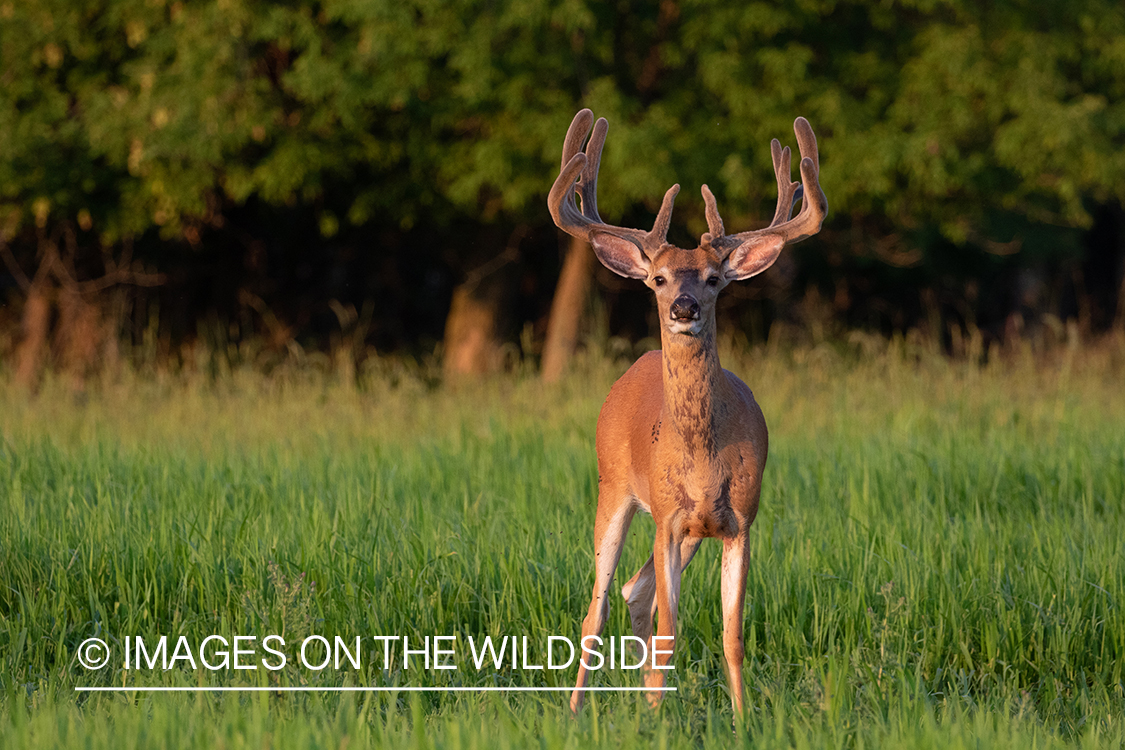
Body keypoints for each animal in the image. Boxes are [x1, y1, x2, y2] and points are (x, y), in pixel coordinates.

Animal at [549, 110, 832, 715]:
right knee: (598, 607)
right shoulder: (667, 517)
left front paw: (744, 720)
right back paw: (578, 709)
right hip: (615, 488)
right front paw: (658, 719)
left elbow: (732, 634)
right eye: (658, 279)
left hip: (687, 534)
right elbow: (669, 632)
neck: (703, 460)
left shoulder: (738, 521)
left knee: (636, 593)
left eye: (713, 278)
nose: (684, 307)